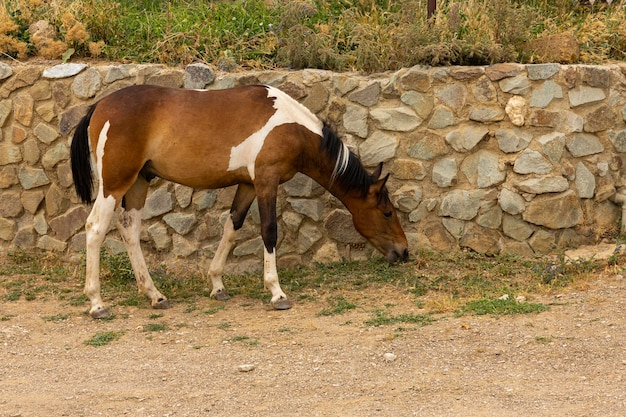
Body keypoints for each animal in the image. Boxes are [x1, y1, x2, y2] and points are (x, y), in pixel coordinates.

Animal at [70, 84, 408, 318]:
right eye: (387, 212)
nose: (403, 252)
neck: (290, 126)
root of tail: (100, 105)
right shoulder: (266, 181)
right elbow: (269, 231)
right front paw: (276, 292)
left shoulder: (247, 185)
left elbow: (232, 228)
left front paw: (217, 285)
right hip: (115, 185)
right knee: (95, 228)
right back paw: (97, 303)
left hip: (139, 181)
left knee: (129, 229)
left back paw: (155, 295)